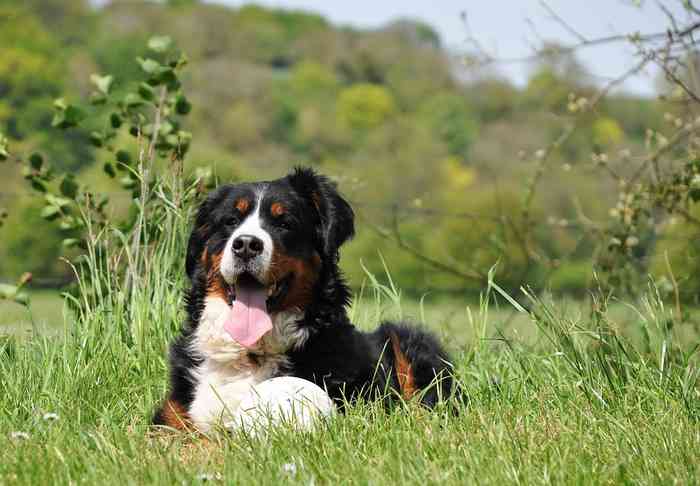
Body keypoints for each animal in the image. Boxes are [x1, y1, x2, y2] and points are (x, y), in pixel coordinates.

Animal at [153, 168, 454, 432]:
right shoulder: (172, 416)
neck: (250, 355)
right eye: (230, 221)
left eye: (284, 223)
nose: (247, 245)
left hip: (406, 340)